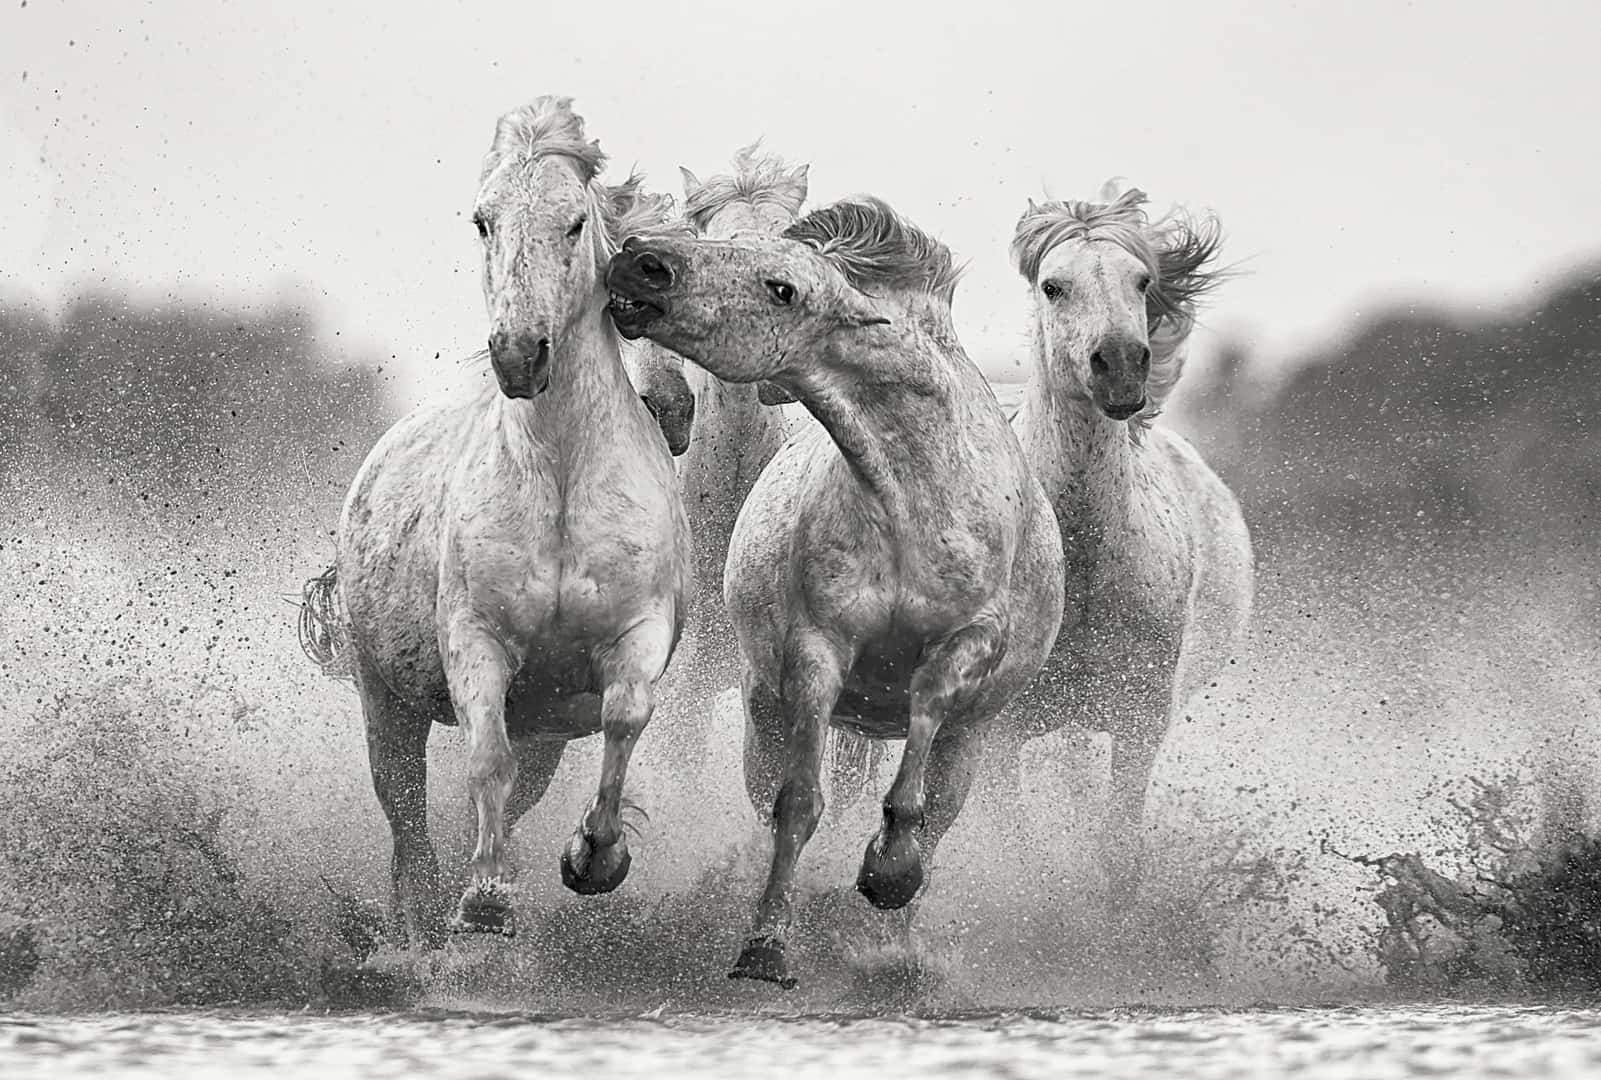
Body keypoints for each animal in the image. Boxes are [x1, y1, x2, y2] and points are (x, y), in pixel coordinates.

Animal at [311, 96, 694, 948]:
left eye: (575, 222)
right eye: (482, 220)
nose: (520, 355)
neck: (559, 481)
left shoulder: (635, 636)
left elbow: (625, 716)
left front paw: (594, 857)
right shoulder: (475, 643)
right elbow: (484, 759)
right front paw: (488, 899)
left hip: (544, 730)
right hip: (385, 704)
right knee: (406, 816)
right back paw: (420, 922)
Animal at [1003, 180, 1255, 906]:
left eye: (1141, 280)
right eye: (1053, 286)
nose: (1118, 367)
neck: (1081, 566)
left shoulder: (1138, 719)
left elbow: (1117, 857)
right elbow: (1011, 859)